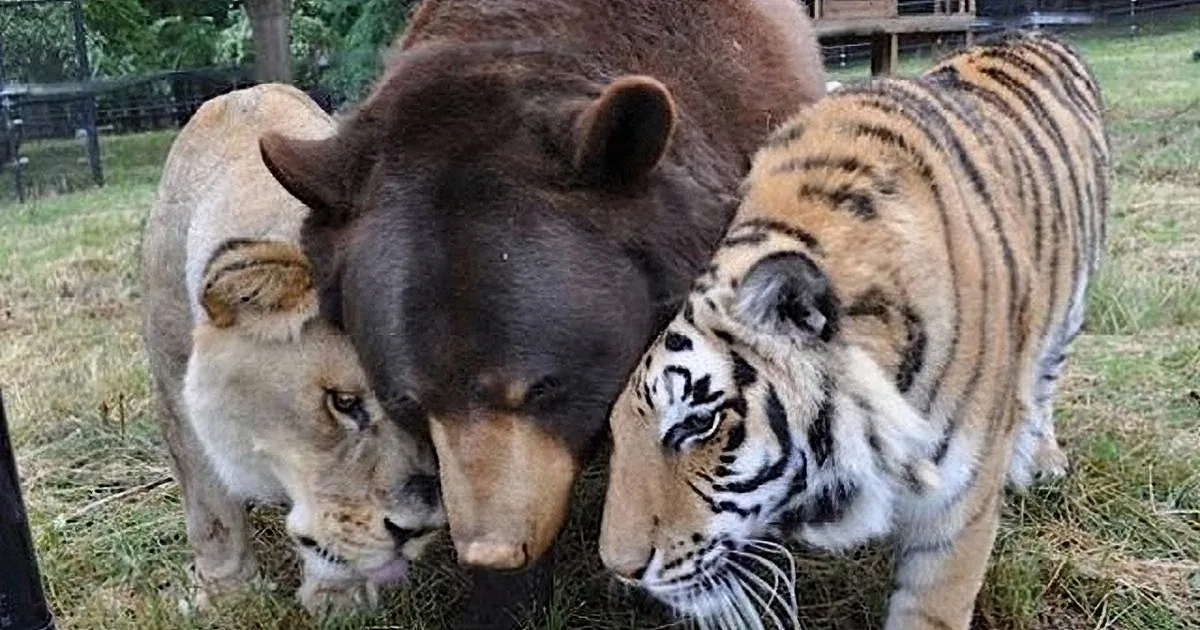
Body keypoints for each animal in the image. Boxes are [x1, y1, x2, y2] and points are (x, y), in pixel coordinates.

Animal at [139, 83, 445, 616]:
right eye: (343, 403)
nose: (418, 529)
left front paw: (338, 599)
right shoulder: (173, 386)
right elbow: (210, 509)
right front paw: (226, 595)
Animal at [598, 30, 1110, 629]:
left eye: (699, 423)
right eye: (615, 431)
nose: (620, 569)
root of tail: (1033, 32)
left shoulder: (958, 507)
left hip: (1072, 304)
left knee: (1046, 378)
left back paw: (1044, 458)